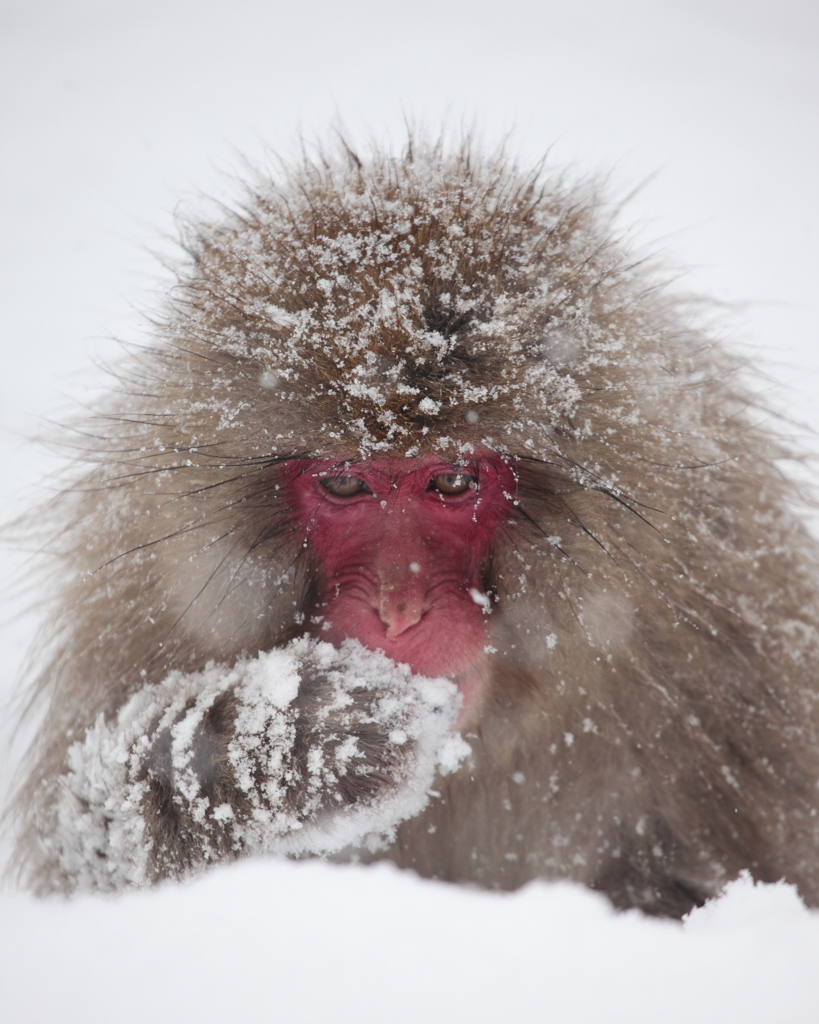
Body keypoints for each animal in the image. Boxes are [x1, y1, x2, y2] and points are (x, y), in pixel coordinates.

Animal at [9, 140, 818, 917]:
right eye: (344, 483)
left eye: (452, 482)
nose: (398, 611)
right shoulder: (137, 611)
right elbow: (90, 857)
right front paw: (284, 745)